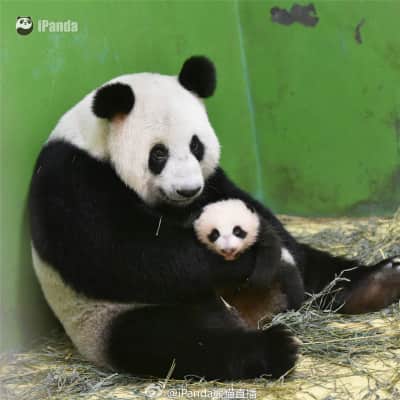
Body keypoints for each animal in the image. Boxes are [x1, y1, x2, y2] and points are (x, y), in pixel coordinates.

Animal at [193, 199, 304, 328]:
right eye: (214, 234)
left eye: (237, 231)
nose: (228, 249)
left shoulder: (262, 231)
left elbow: (270, 249)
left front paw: (256, 281)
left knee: (292, 287)